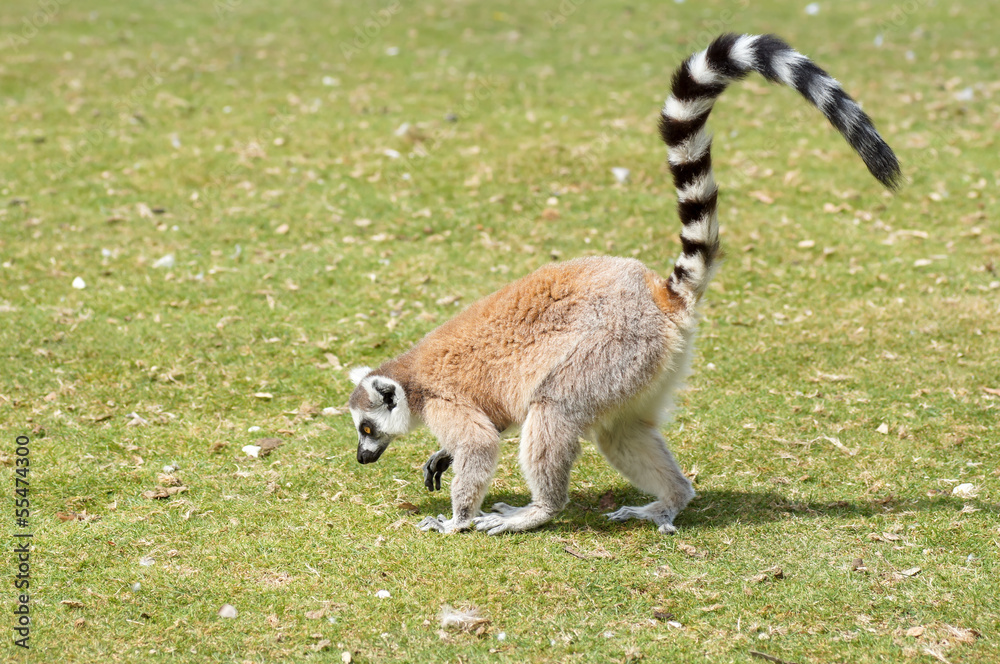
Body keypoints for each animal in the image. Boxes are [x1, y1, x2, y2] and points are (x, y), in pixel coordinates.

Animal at [347, 33, 901, 535]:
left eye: (367, 427)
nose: (361, 457)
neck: (412, 380)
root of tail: (658, 296)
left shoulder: (446, 401)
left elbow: (480, 443)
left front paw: (455, 521)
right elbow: (495, 422)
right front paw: (442, 459)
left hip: (609, 350)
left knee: (554, 409)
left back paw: (538, 511)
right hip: (640, 371)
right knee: (620, 431)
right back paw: (668, 502)